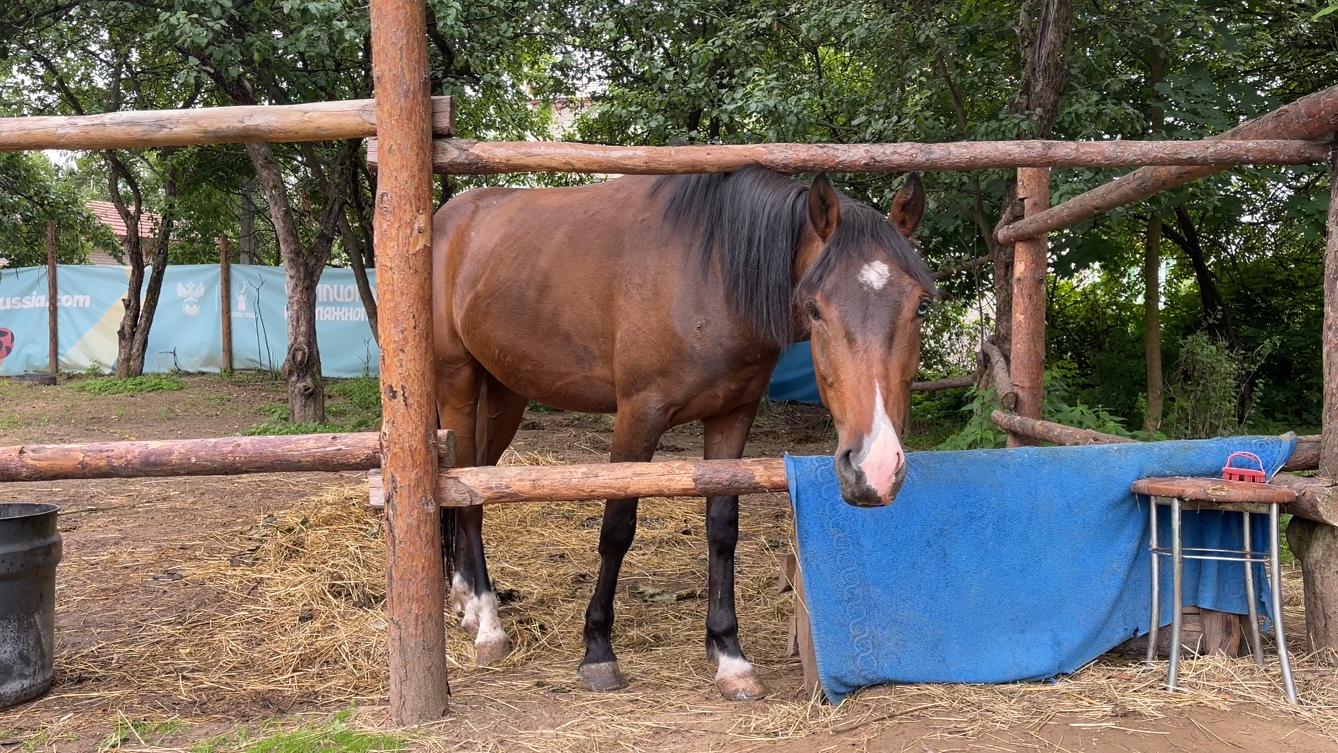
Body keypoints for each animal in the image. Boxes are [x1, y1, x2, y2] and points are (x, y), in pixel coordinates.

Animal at [433, 166, 936, 700]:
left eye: (921, 306)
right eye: (815, 308)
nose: (874, 467)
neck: (711, 275)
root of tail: (447, 219)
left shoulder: (732, 416)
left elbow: (722, 528)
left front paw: (730, 655)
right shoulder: (639, 415)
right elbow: (617, 529)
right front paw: (597, 651)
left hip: (505, 394)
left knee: (477, 483)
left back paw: (467, 603)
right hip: (458, 383)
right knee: (468, 493)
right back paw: (489, 625)